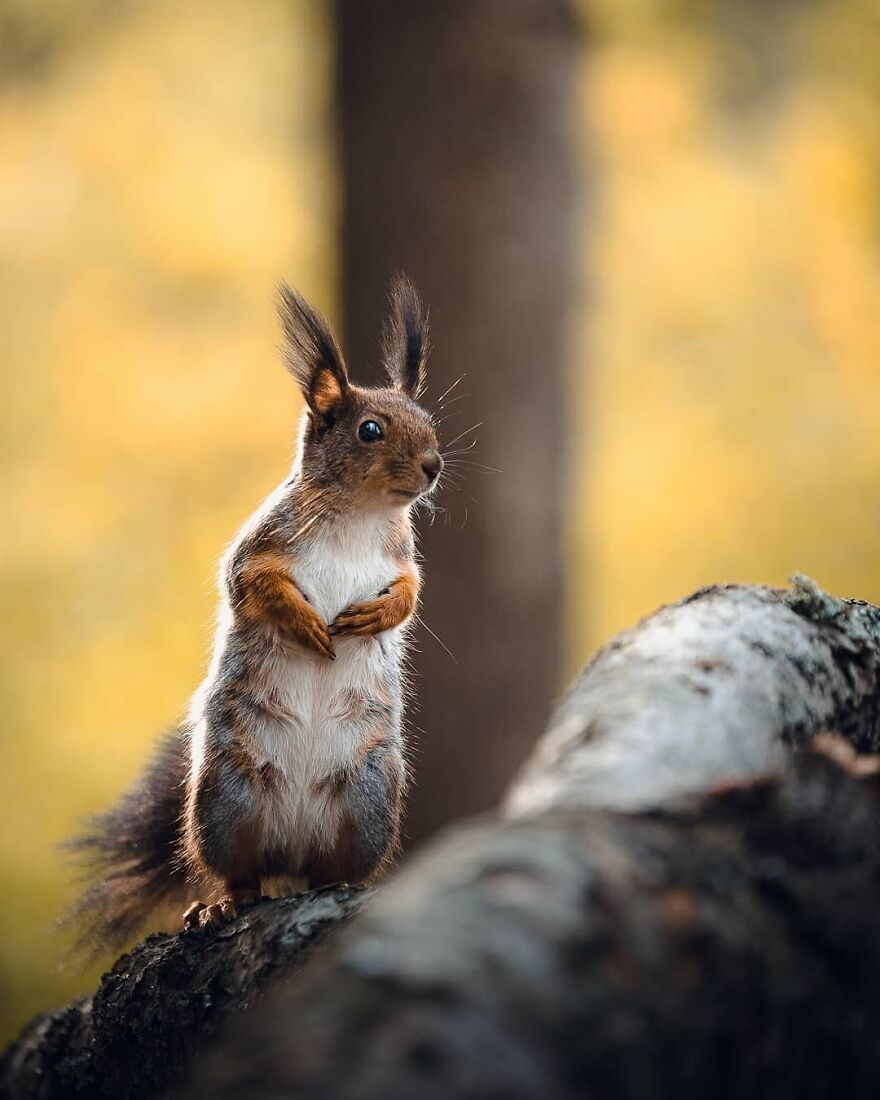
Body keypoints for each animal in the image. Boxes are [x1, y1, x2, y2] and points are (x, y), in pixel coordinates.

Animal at [68, 275, 443, 950]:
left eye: (430, 423)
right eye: (370, 430)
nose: (433, 465)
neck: (361, 514)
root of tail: (293, 846)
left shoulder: (401, 557)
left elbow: (409, 593)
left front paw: (375, 618)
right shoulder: (261, 544)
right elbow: (252, 583)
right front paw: (305, 623)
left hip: (368, 800)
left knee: (331, 870)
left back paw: (339, 884)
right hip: (226, 800)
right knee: (239, 872)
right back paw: (221, 904)